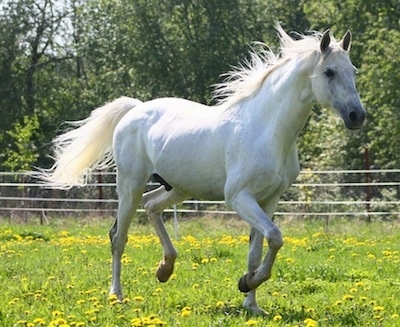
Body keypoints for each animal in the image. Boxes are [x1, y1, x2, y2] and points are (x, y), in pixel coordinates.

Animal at [36, 25, 366, 316]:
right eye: (329, 72)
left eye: (353, 71)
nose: (357, 116)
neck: (266, 129)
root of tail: (134, 110)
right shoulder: (239, 198)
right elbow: (275, 237)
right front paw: (246, 283)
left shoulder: (269, 200)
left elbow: (259, 249)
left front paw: (251, 302)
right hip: (130, 186)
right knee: (119, 237)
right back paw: (117, 295)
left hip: (178, 187)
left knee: (152, 206)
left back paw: (165, 269)